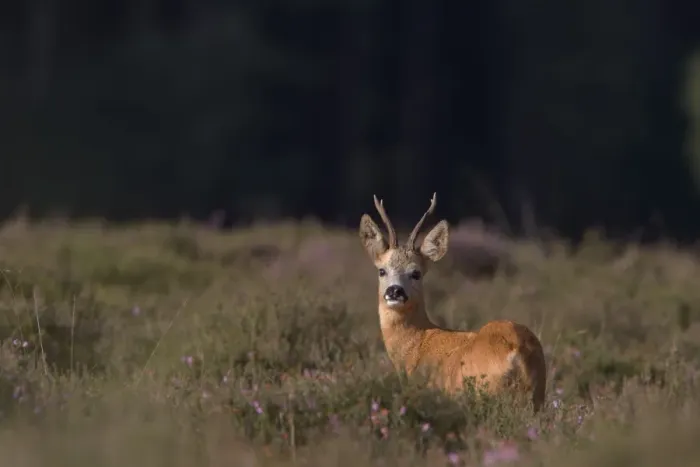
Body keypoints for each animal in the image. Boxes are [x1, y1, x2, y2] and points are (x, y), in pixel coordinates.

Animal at [359, 193, 546, 412]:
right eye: (382, 270)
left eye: (416, 273)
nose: (395, 291)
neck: (418, 342)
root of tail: (516, 350)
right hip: (536, 397)